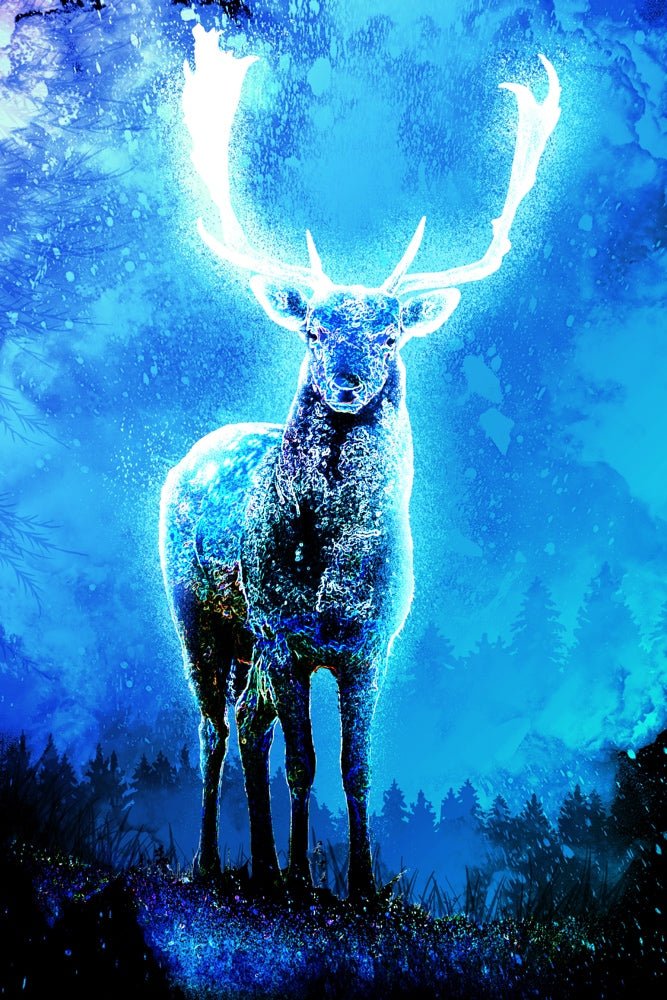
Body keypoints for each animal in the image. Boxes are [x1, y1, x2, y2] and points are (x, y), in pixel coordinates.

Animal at [159, 25, 561, 898]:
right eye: (313, 330)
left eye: (389, 333)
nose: (346, 384)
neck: (332, 575)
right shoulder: (282, 628)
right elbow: (304, 763)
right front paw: (302, 880)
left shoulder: (372, 641)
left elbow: (356, 769)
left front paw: (361, 886)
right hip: (197, 611)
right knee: (213, 727)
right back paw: (214, 864)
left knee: (248, 724)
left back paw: (263, 865)